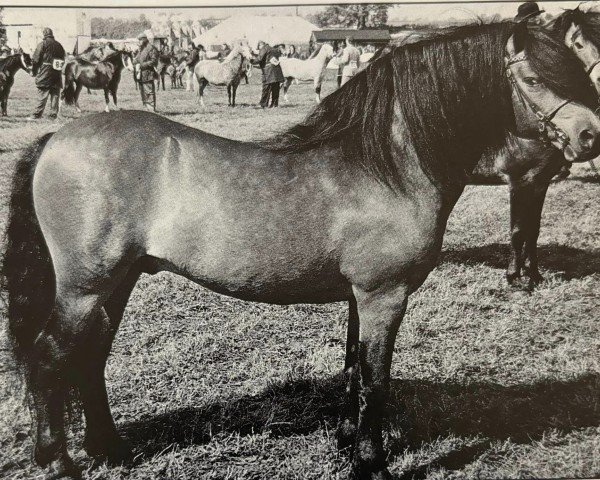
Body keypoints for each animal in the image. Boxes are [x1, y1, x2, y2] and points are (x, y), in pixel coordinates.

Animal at [4, 21, 600, 480]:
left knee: (90, 359)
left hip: (118, 281)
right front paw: (372, 464)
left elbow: (353, 369)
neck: (387, 165)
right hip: (86, 287)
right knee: (49, 358)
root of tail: (56, 141)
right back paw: (57, 461)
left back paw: (110, 450)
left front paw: (346, 440)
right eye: (533, 77)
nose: (590, 137)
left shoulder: (362, 297)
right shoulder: (385, 295)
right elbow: (376, 380)